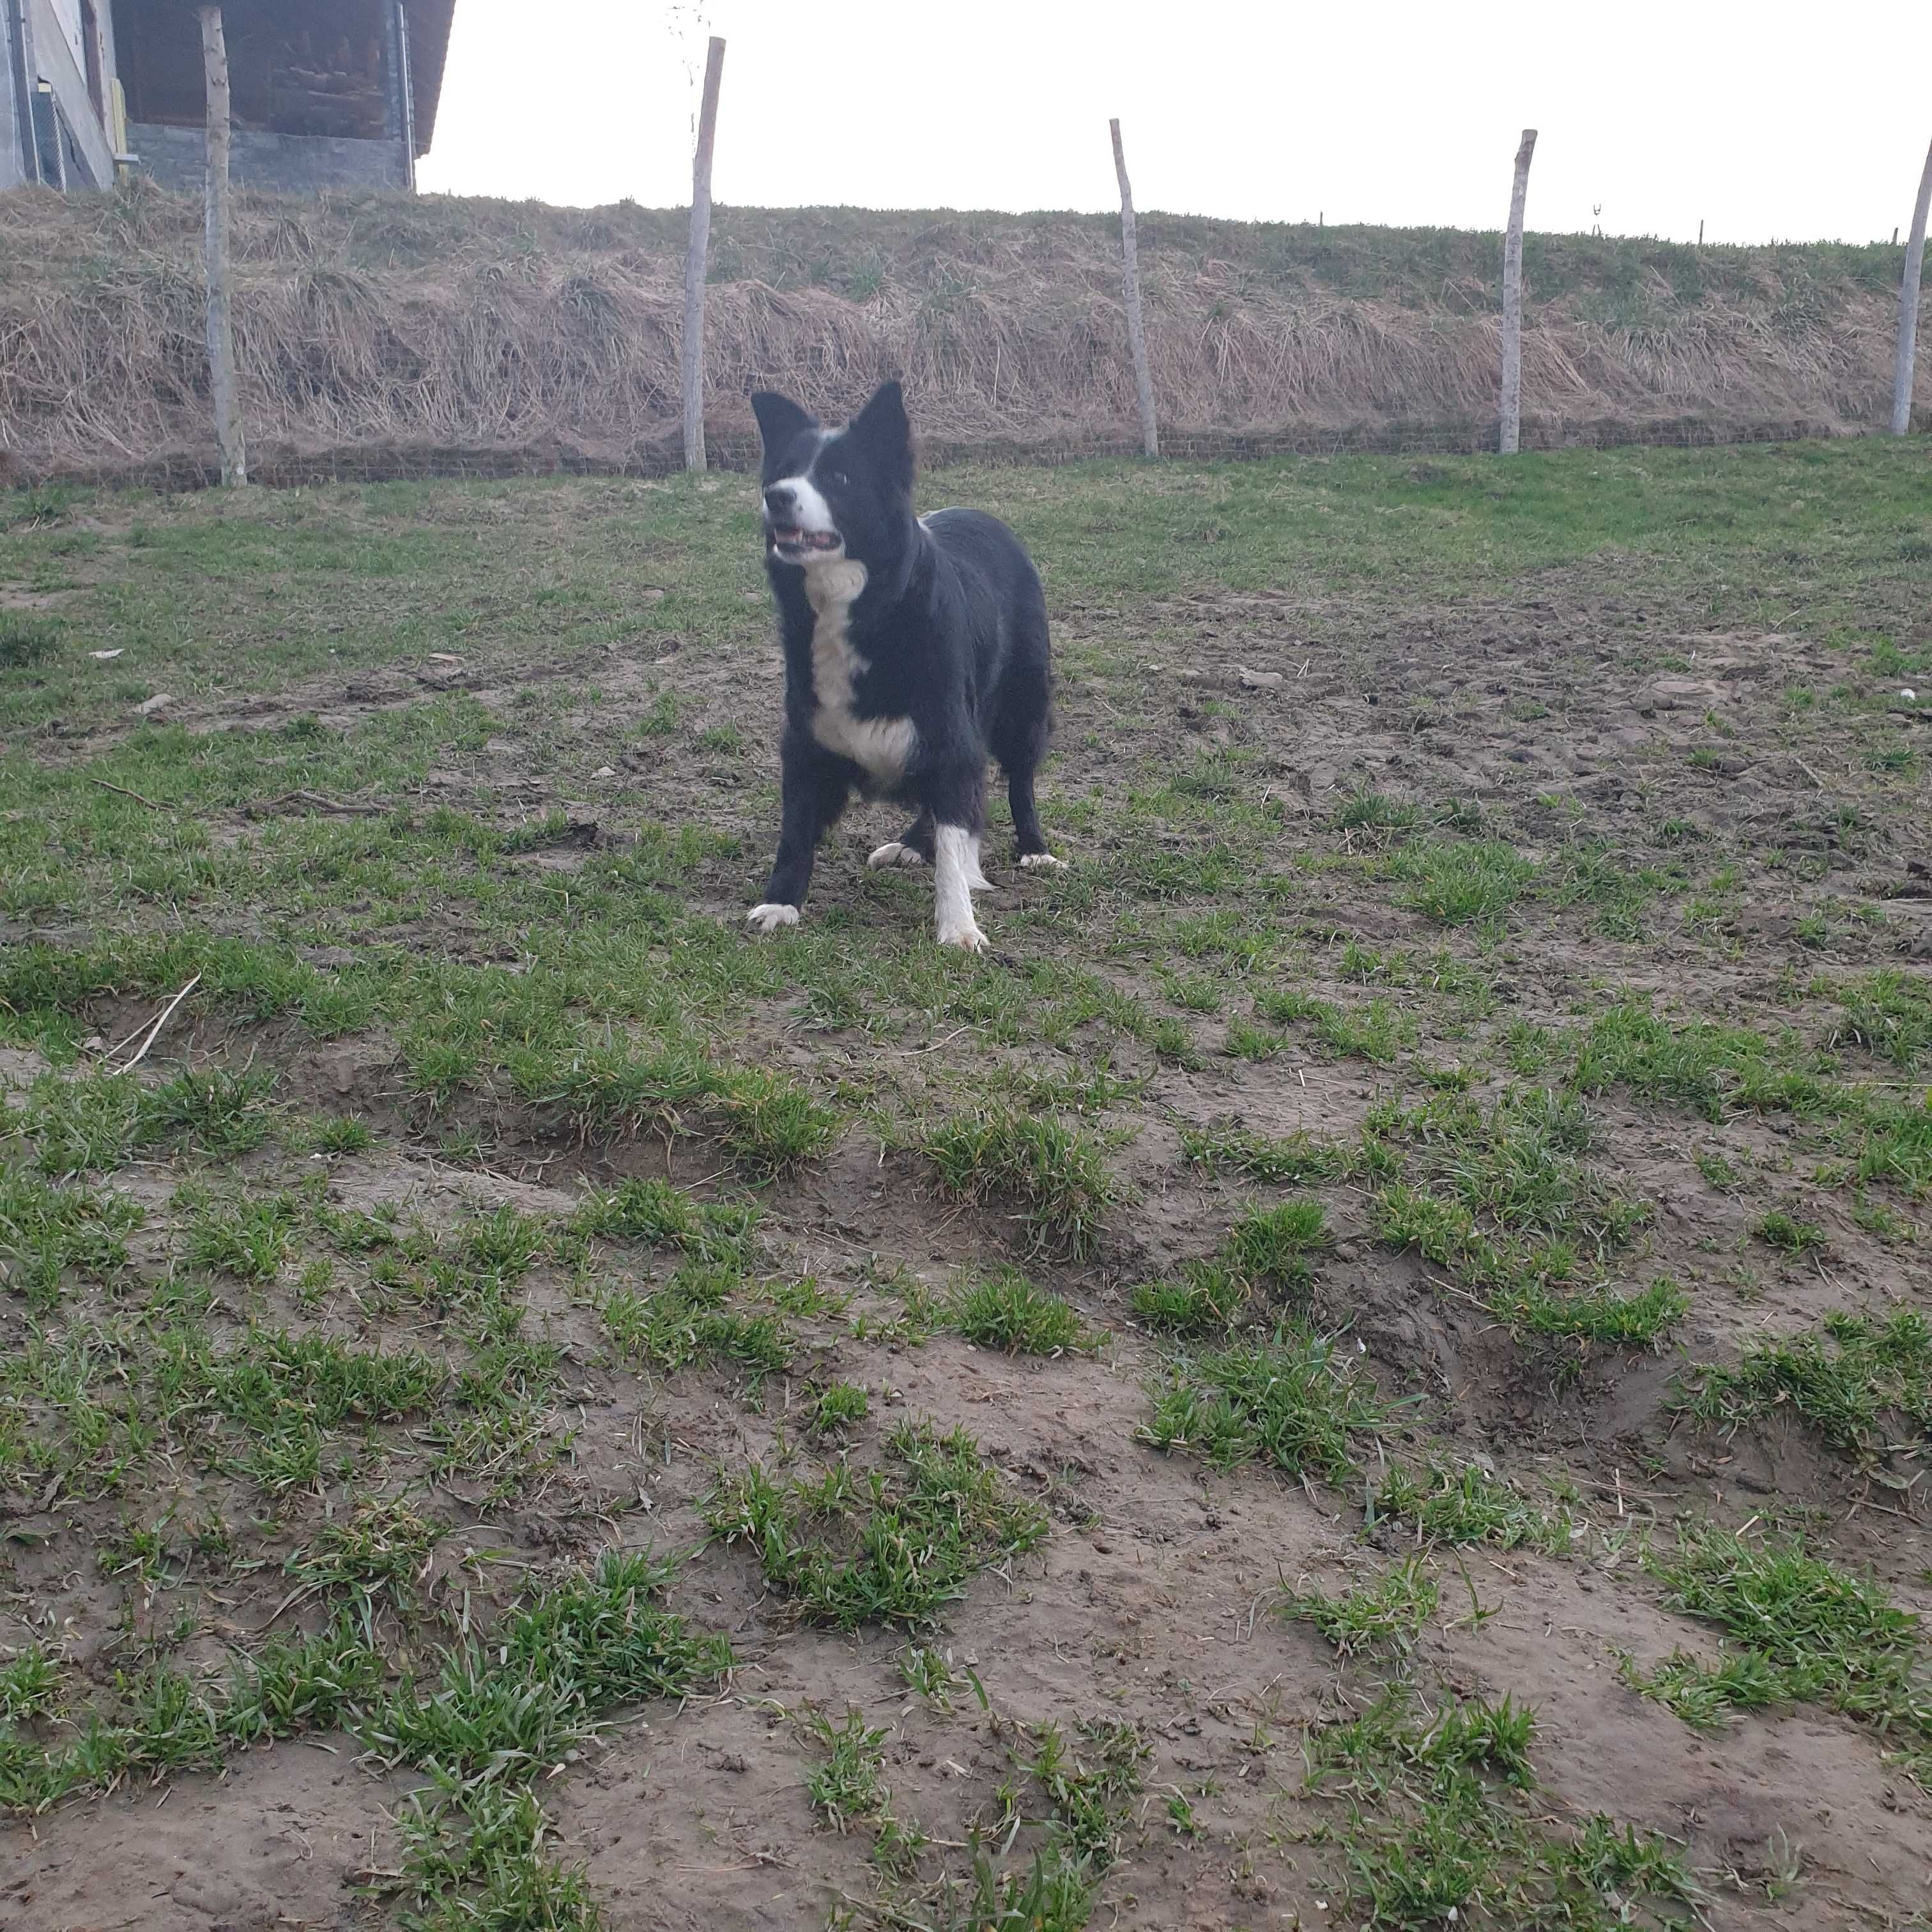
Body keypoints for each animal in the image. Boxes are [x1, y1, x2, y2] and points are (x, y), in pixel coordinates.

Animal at [746, 376, 1066, 950]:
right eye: (784, 469)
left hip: (1023, 704)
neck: (861, 606)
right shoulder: (807, 742)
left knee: (1020, 779)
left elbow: (956, 843)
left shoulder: (950, 733)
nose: (776, 496)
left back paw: (1034, 848)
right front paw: (781, 902)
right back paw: (914, 843)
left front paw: (958, 926)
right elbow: (795, 831)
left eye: (839, 477)